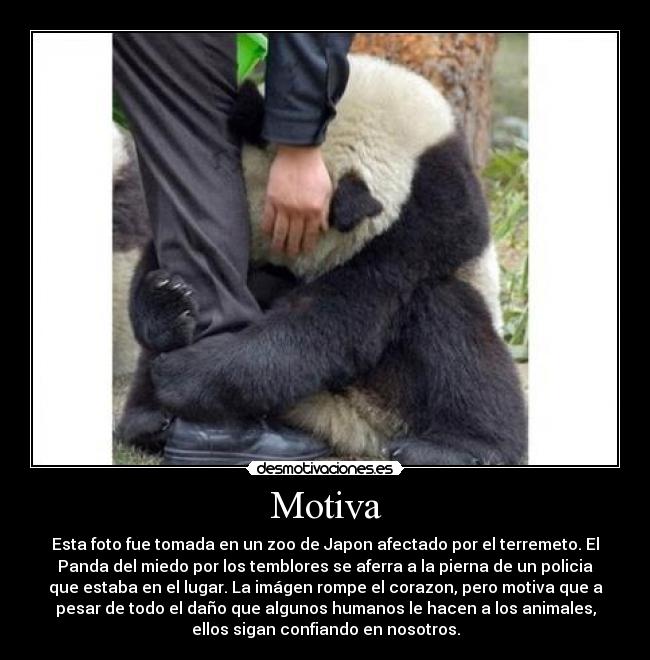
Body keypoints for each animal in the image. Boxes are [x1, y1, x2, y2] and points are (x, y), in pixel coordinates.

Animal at [114, 54, 527, 465]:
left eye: (281, 256)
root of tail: (342, 421)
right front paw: (164, 301)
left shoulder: (426, 219)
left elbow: (340, 314)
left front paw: (187, 372)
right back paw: (150, 420)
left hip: (397, 390)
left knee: (455, 327)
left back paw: (461, 446)